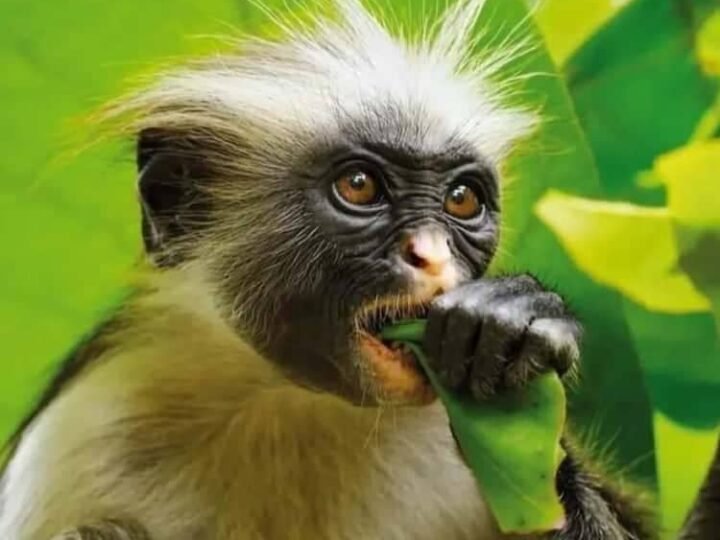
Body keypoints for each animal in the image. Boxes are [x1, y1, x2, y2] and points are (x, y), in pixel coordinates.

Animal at [0, 0, 657, 538]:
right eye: (360, 186)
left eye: (462, 199)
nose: (432, 254)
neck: (289, 399)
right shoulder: (78, 433)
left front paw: (511, 325)